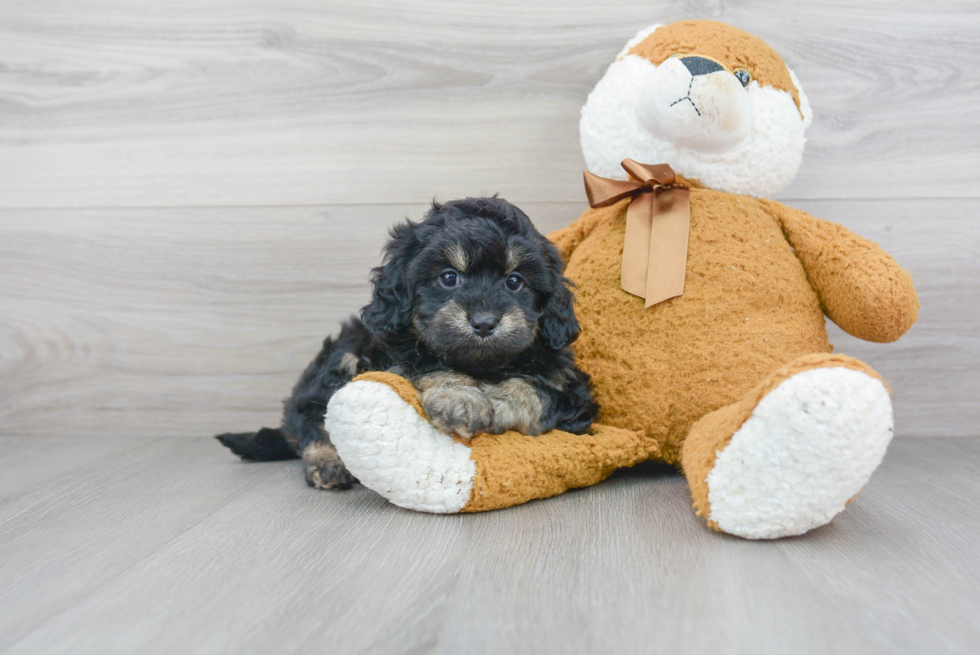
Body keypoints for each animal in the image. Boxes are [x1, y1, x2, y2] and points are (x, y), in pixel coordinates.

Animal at [215, 197, 596, 490]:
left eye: (515, 282)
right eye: (448, 277)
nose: (485, 322)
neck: (482, 363)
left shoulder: (573, 392)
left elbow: (533, 390)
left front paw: (494, 401)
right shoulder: (395, 351)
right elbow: (429, 363)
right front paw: (462, 399)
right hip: (346, 352)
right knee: (312, 414)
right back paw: (326, 459)